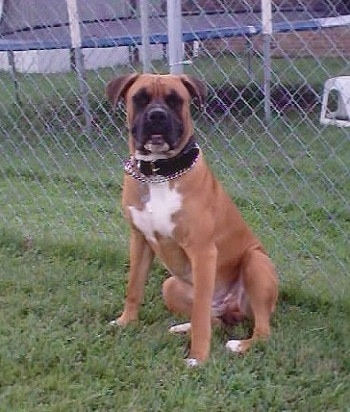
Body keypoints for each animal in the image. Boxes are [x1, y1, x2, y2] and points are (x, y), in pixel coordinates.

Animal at [105, 74, 278, 366]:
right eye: (140, 98)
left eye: (176, 100)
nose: (157, 115)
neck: (159, 174)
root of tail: (229, 305)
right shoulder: (139, 241)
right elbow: (133, 287)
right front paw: (126, 322)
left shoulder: (203, 252)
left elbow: (199, 314)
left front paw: (198, 357)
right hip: (170, 285)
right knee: (215, 321)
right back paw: (182, 327)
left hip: (255, 262)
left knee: (260, 330)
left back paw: (239, 345)